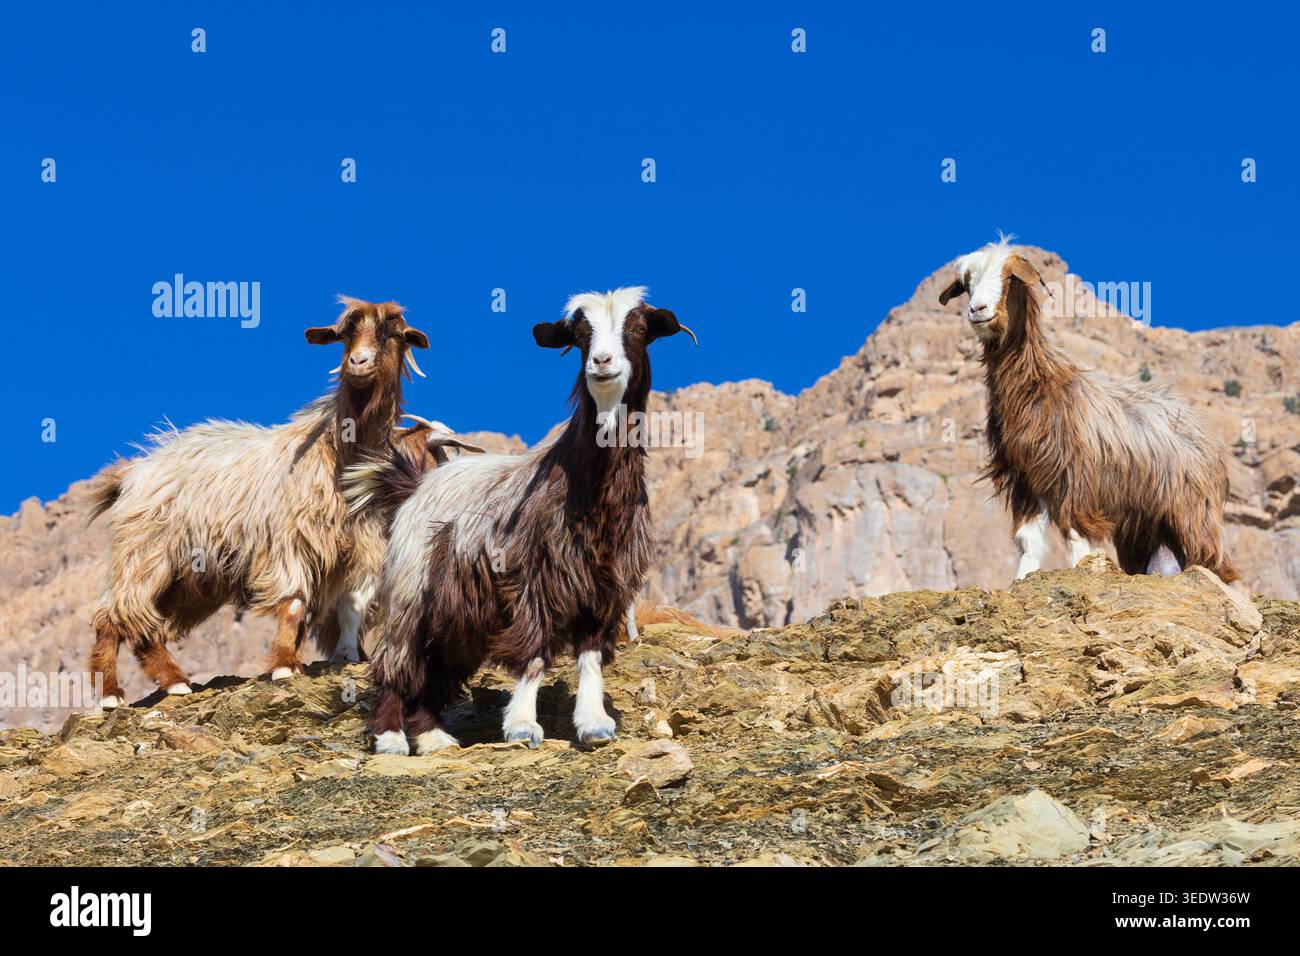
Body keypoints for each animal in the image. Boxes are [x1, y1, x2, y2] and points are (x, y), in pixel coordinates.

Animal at [86, 297, 430, 707]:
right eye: (345, 334)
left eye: (392, 334)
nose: (358, 363)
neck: (336, 452)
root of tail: (131, 473)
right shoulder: (290, 540)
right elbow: (294, 602)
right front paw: (283, 665)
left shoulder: (355, 549)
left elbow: (349, 607)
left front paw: (336, 657)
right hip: (145, 552)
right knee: (115, 612)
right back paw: (112, 693)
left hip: (186, 577)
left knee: (141, 622)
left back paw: (172, 681)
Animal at [344, 286, 695, 754]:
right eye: (580, 335)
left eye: (638, 329)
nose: (602, 362)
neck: (589, 492)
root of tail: (414, 486)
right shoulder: (529, 577)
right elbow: (533, 651)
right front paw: (522, 726)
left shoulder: (603, 587)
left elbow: (590, 656)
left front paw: (593, 723)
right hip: (410, 591)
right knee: (398, 659)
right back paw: (391, 737)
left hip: (458, 619)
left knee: (437, 667)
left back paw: (434, 736)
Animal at [938, 237, 1239, 583]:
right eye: (966, 283)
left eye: (1011, 277)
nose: (978, 310)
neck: (1042, 383)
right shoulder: (1024, 475)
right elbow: (1029, 539)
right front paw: (1022, 578)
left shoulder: (1075, 473)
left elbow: (1075, 532)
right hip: (1144, 524)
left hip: (1194, 510)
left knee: (1214, 560)